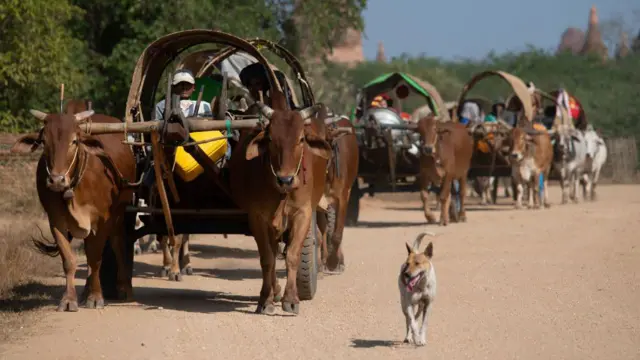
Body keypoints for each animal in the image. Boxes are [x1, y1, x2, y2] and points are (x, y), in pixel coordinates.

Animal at [10, 106, 136, 310]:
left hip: (119, 212)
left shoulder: (102, 220)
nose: (56, 180)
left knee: (118, 245)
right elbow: (69, 260)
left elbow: (95, 259)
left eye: (74, 141)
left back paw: (124, 288)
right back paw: (85, 291)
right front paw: (69, 299)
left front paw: (96, 297)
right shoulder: (56, 220)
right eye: (44, 141)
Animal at [229, 93, 330, 316]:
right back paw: (273, 291)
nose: (286, 180)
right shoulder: (257, 217)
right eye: (270, 139)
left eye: (301, 139)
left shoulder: (303, 213)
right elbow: (267, 258)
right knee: (273, 253)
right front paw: (265, 299)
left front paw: (291, 299)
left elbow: (292, 255)